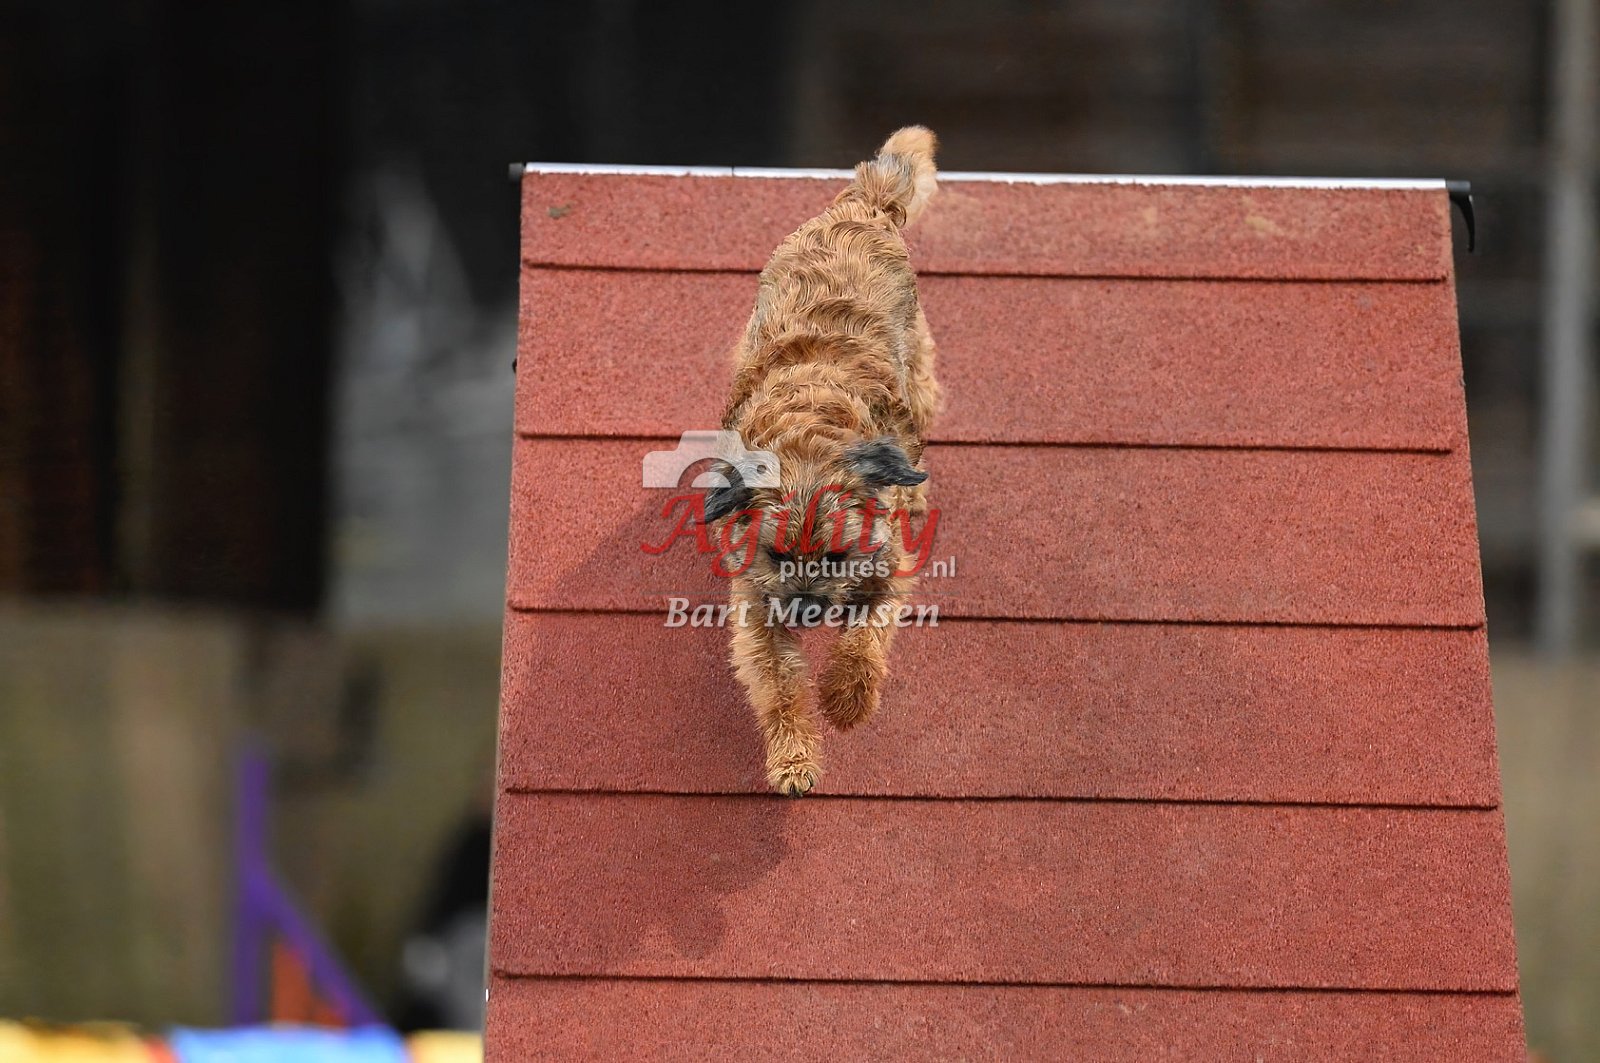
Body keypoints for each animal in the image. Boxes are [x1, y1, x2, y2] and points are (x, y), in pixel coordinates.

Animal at [704, 127, 942, 796]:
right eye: (780, 555)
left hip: (917, 361)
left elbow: (864, 642)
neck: (807, 449)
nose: (808, 610)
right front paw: (793, 758)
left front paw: (845, 702)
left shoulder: (886, 569)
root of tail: (862, 206)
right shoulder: (756, 603)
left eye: (836, 556)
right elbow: (779, 685)